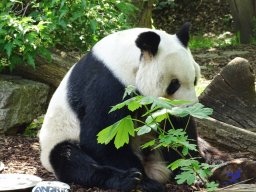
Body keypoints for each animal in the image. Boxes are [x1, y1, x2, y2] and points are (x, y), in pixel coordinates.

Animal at [39, 23, 201, 191]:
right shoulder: (109, 83)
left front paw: (192, 170)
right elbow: (101, 138)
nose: (188, 108)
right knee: (69, 159)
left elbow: (177, 130)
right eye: (174, 84)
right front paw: (144, 181)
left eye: (195, 79)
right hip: (58, 138)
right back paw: (126, 179)